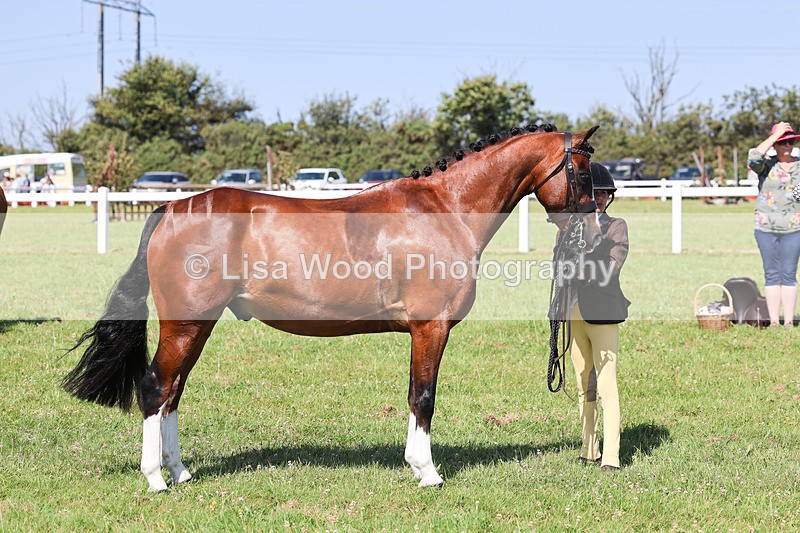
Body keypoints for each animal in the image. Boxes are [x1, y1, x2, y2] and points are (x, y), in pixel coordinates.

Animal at [63, 125, 601, 491]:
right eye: (581, 169)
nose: (596, 229)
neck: (446, 209)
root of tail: (172, 209)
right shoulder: (431, 327)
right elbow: (423, 397)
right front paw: (427, 472)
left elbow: (415, 395)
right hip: (185, 323)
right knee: (156, 388)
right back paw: (156, 478)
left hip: (197, 326)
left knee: (173, 392)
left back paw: (180, 471)